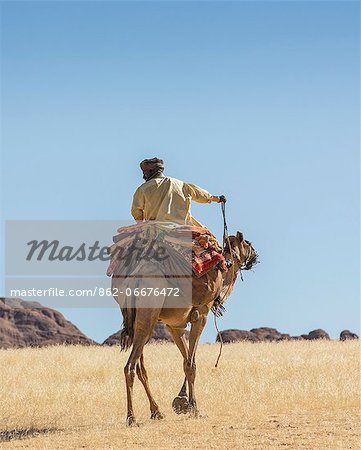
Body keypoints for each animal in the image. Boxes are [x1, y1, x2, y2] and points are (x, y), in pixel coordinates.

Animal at [109, 229, 256, 426]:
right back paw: (132, 418)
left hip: (140, 321)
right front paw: (194, 408)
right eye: (247, 243)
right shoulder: (201, 315)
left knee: (140, 367)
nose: (255, 255)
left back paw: (156, 411)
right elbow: (191, 363)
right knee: (130, 367)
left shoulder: (174, 326)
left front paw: (182, 401)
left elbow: (185, 361)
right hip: (148, 314)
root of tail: (135, 278)